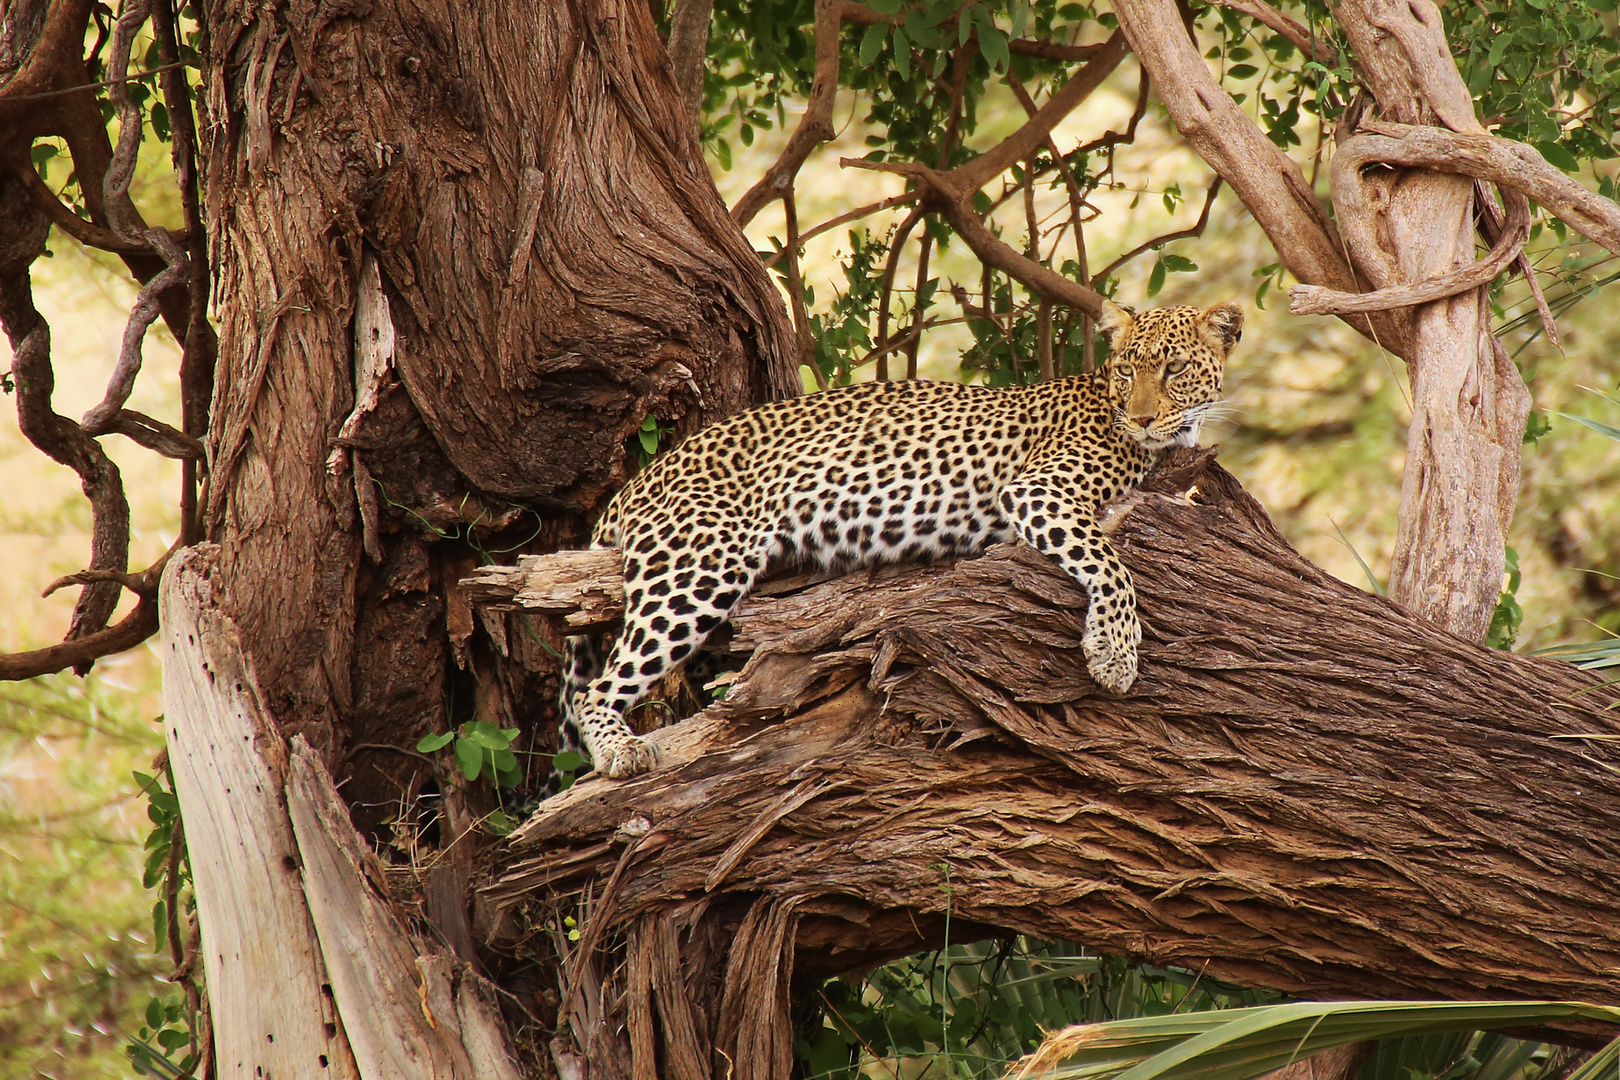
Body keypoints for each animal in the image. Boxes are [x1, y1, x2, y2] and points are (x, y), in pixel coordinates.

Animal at [559, 299, 1242, 780]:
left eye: (1175, 368)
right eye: (1128, 370)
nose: (1143, 418)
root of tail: (643, 475)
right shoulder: (1036, 489)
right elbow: (1111, 561)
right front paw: (1115, 654)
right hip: (700, 563)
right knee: (597, 687)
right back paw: (620, 751)